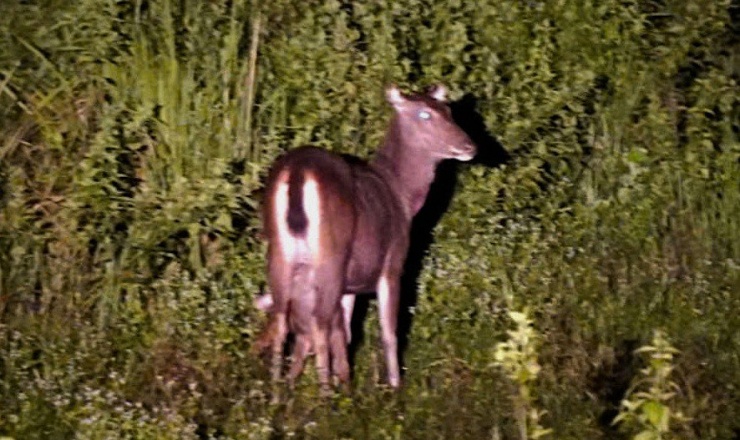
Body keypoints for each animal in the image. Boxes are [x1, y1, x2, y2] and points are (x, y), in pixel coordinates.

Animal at [264, 84, 476, 390]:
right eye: (425, 114)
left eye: (448, 110)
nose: (469, 145)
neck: (402, 195)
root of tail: (297, 174)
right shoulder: (392, 264)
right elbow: (388, 331)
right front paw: (395, 386)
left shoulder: (350, 285)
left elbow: (347, 331)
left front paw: (346, 379)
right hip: (330, 257)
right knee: (319, 322)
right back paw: (324, 395)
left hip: (280, 255)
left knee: (282, 320)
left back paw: (276, 391)